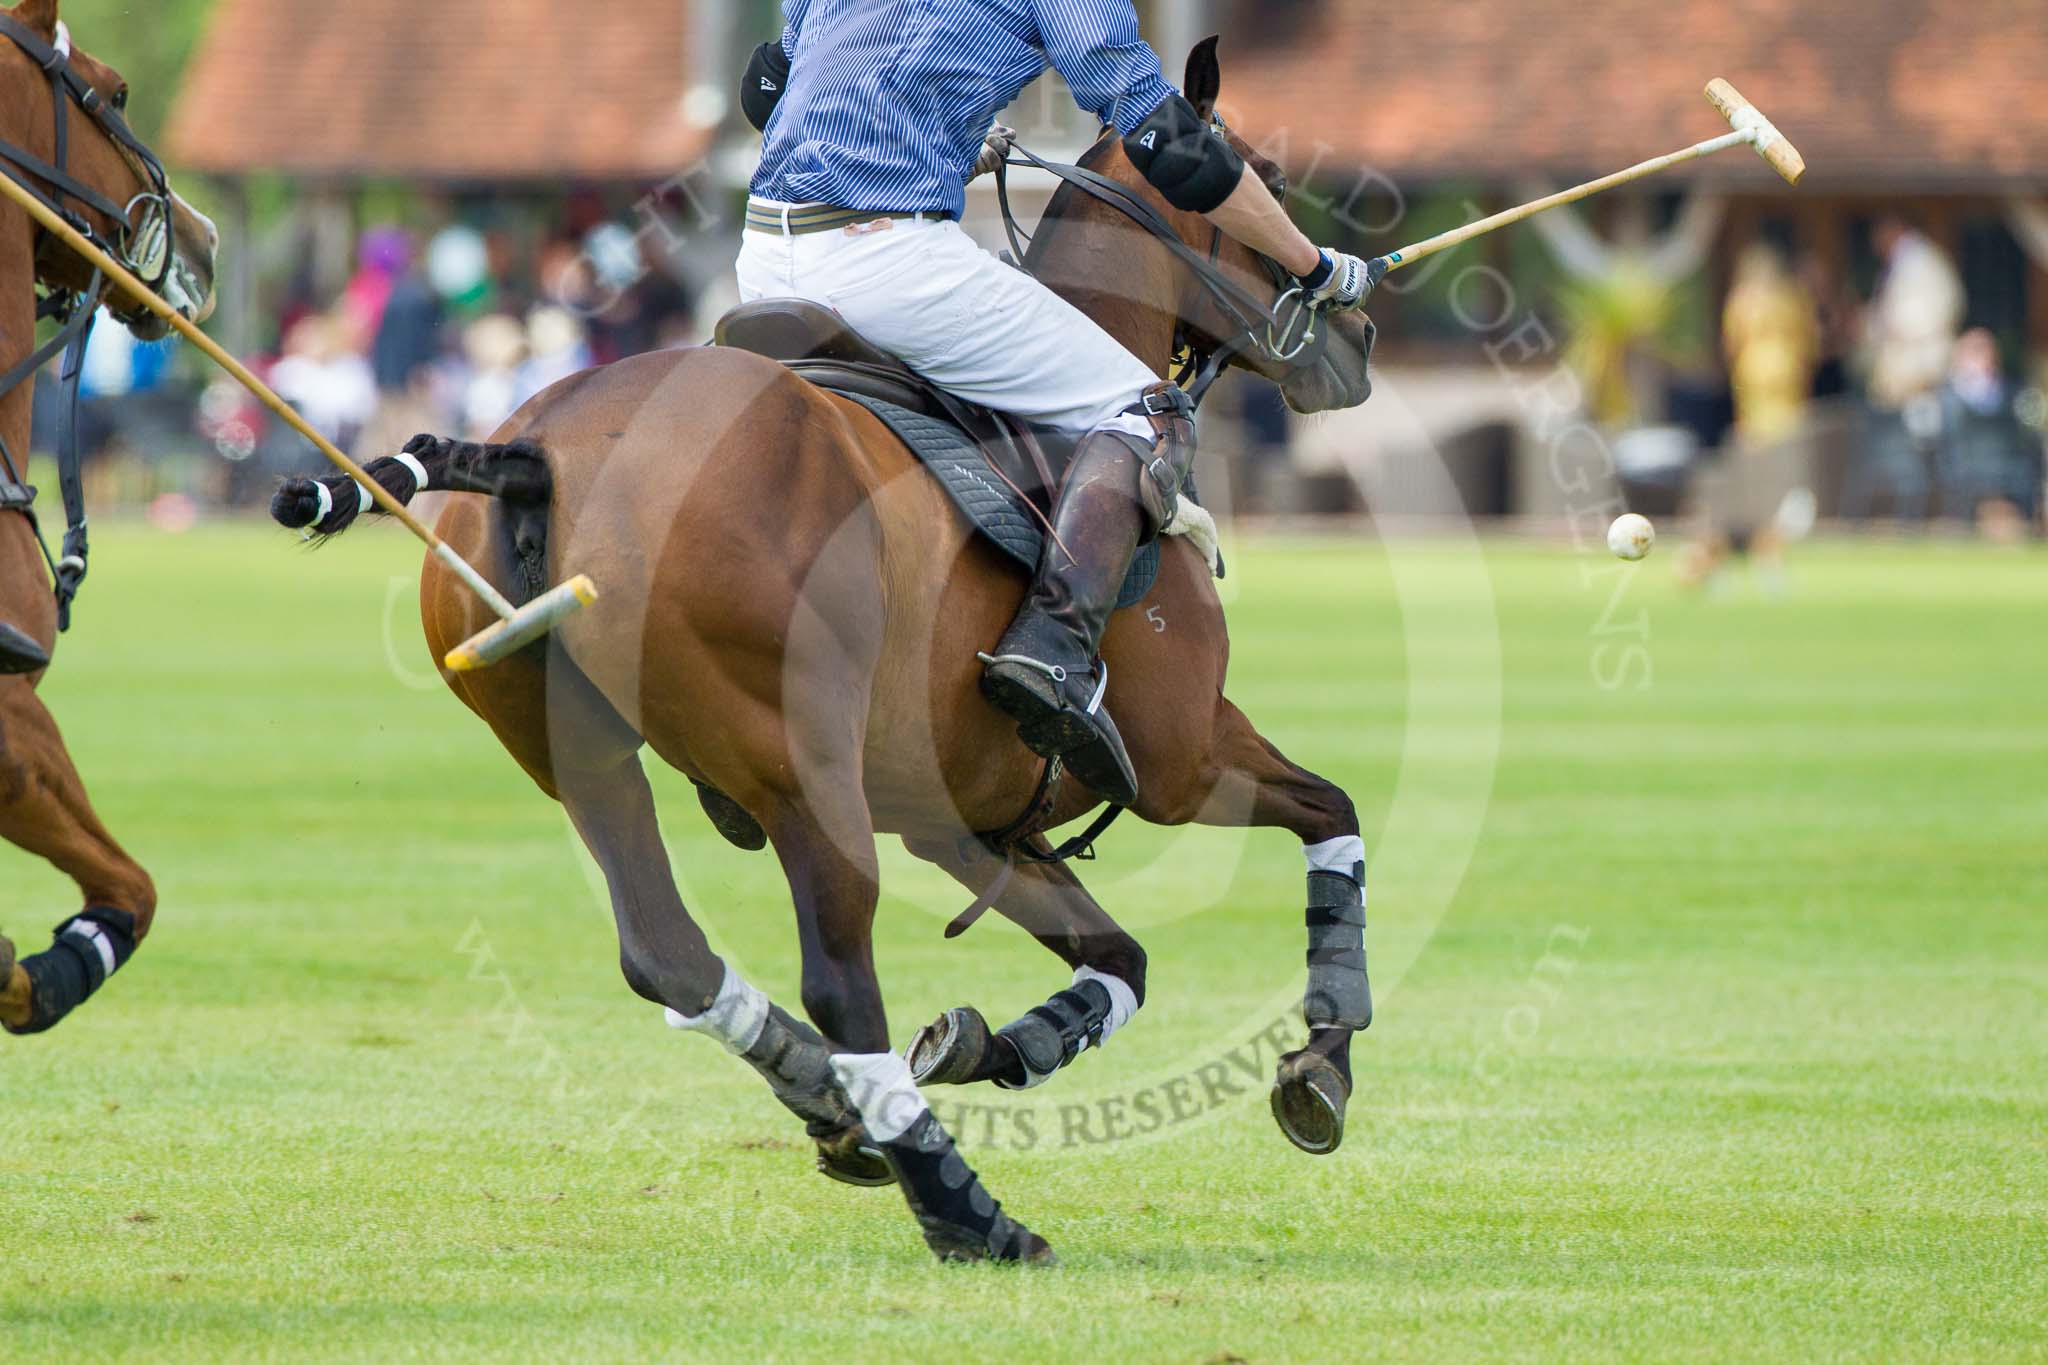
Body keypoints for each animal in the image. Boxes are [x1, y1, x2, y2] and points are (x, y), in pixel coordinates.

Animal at [276, 42, 1376, 1268]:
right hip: (802, 766)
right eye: (1262, 177)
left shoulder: (966, 819)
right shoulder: (1184, 757)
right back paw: (965, 1210)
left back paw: (832, 1101)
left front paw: (991, 1044)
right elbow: (1330, 814)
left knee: (665, 950)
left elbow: (1121, 958)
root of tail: (537, 451)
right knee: (841, 980)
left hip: (568, 745)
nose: (1355, 341)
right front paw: (1320, 1062)